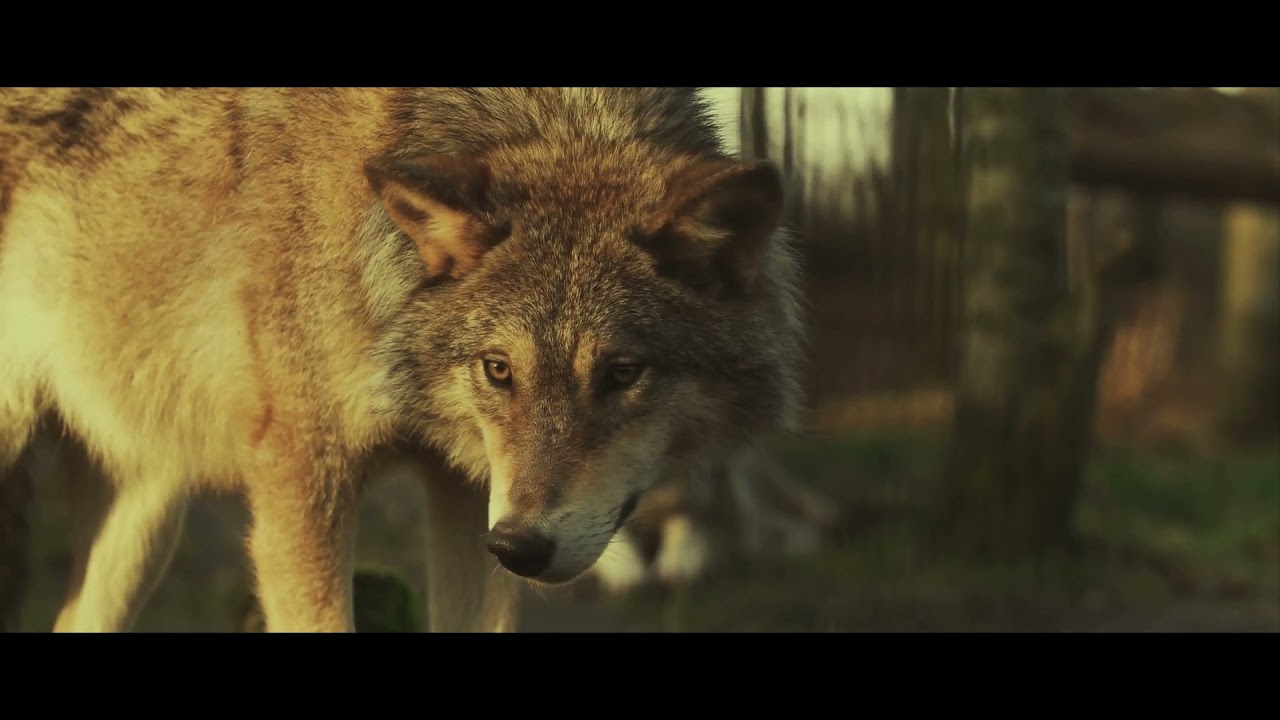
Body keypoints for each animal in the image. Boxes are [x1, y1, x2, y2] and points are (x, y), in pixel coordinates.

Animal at [0, 87, 805, 632]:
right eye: (498, 369)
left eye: (623, 372)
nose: (524, 547)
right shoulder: (303, 477)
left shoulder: (469, 495)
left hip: (145, 518)